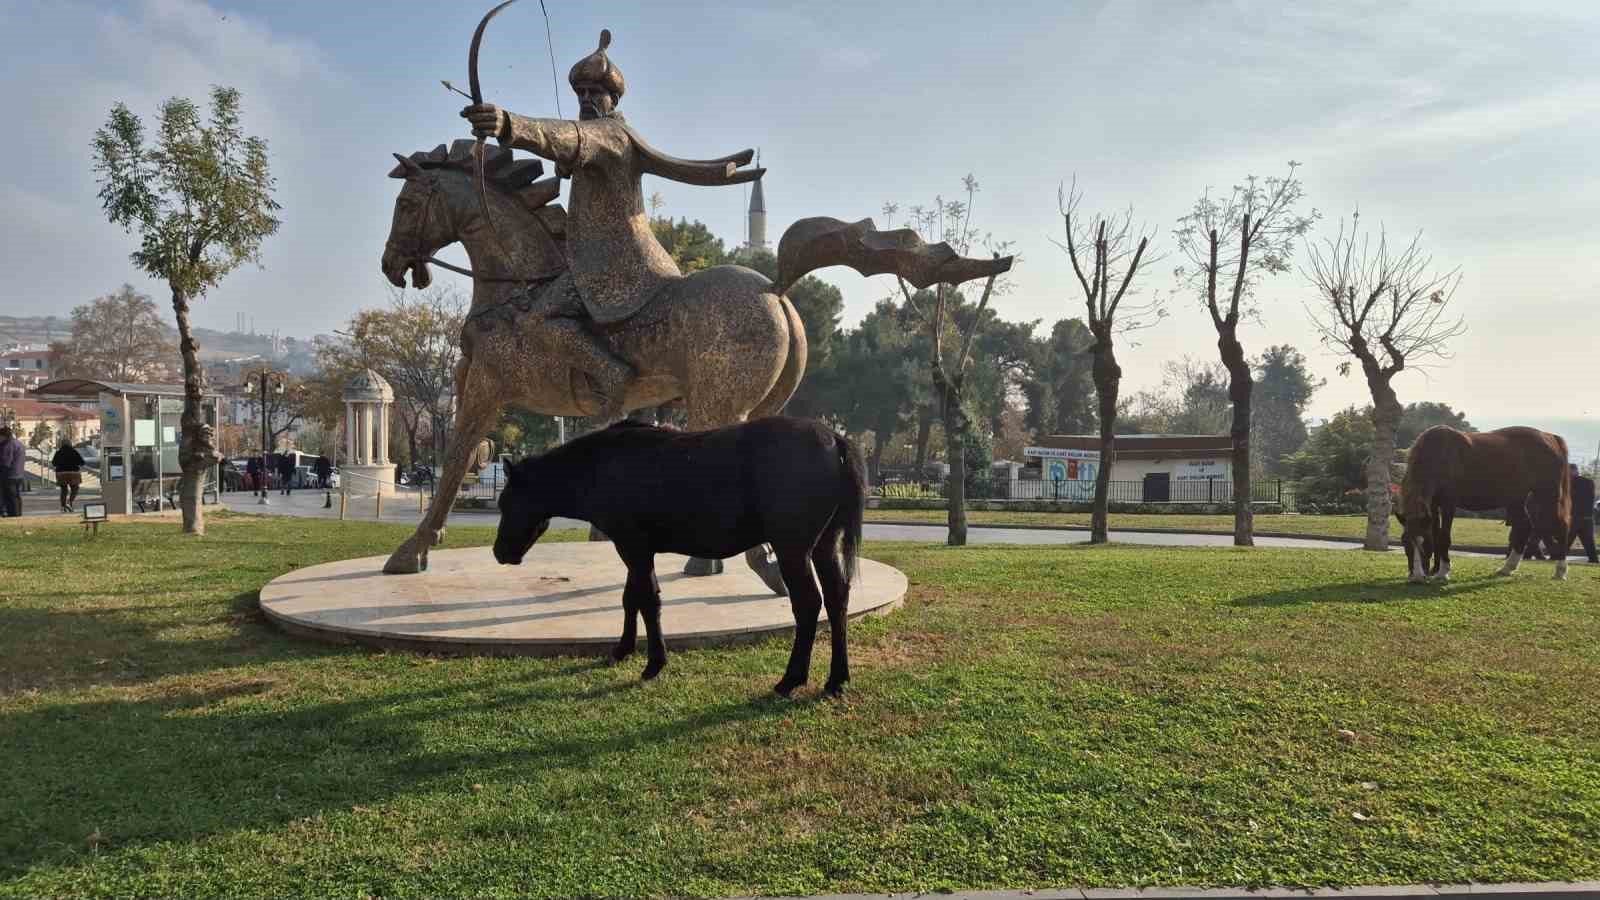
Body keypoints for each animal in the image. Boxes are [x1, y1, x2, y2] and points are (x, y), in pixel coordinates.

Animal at [492, 416, 870, 695]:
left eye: (507, 502)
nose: (499, 552)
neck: (603, 465)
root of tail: (835, 440)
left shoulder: (632, 547)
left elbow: (648, 600)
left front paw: (654, 663)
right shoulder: (636, 549)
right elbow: (632, 598)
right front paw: (623, 649)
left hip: (793, 549)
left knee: (808, 604)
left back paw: (791, 679)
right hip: (824, 545)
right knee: (837, 598)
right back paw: (836, 679)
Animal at [1395, 422, 1568, 582]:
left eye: (1425, 544)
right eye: (1405, 542)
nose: (1417, 577)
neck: (1439, 455)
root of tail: (1550, 437)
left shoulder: (1448, 505)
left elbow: (1444, 536)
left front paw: (1443, 572)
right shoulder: (1433, 505)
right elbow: (1437, 535)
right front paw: (1436, 570)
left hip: (1547, 494)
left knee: (1560, 527)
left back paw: (1560, 571)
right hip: (1515, 499)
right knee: (1524, 527)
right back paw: (1507, 568)